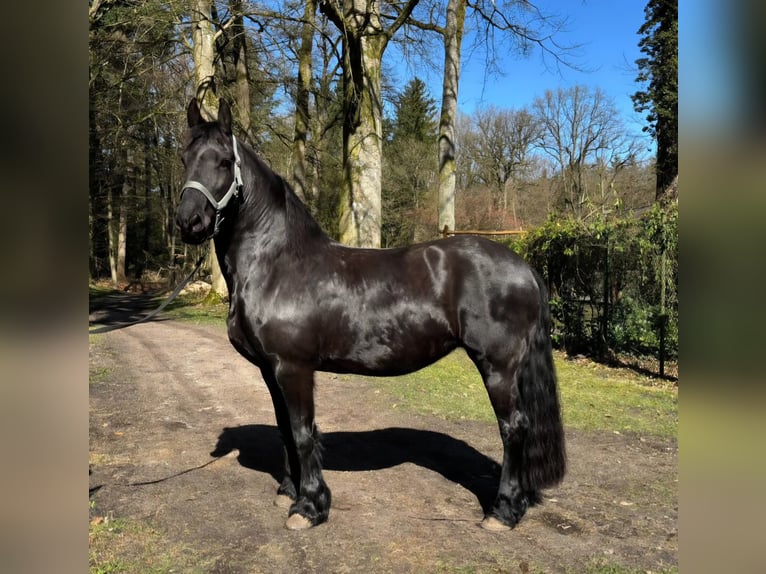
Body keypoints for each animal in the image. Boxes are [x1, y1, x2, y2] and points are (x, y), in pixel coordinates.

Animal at [175, 99, 566, 531]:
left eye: (225, 161)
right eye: (184, 157)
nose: (189, 222)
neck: (278, 264)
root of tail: (524, 267)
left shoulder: (293, 368)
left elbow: (303, 432)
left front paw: (309, 507)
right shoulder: (269, 369)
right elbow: (284, 429)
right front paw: (289, 492)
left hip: (498, 367)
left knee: (514, 428)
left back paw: (503, 511)